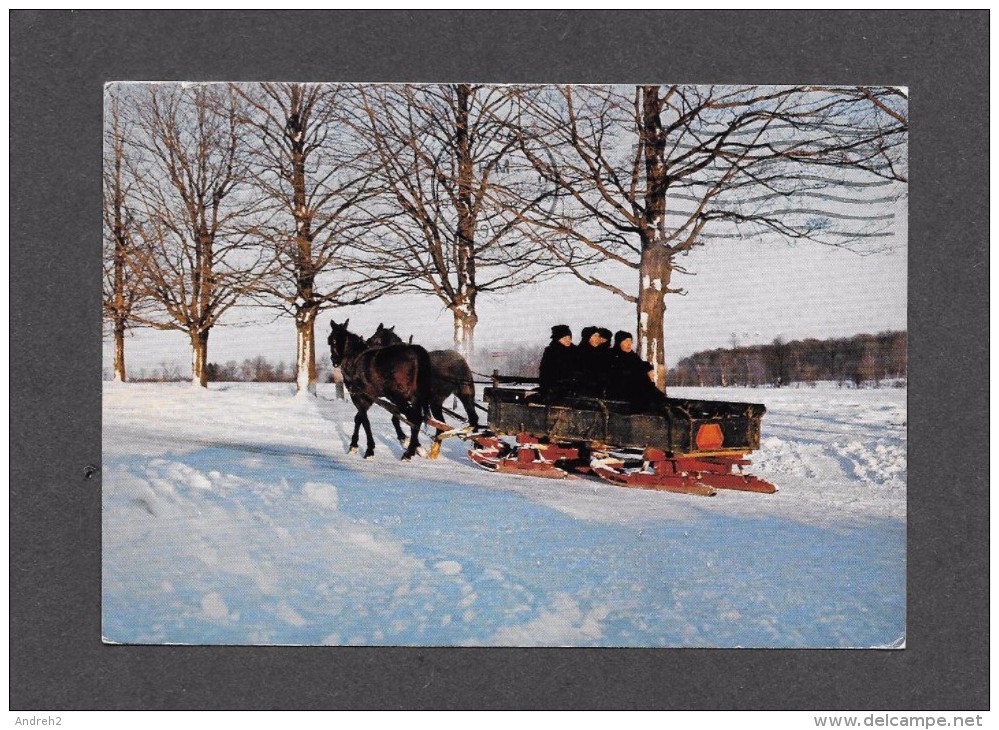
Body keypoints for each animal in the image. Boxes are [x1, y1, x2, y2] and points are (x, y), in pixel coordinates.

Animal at [328, 320, 434, 458]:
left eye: (331, 340)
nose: (334, 360)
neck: (354, 359)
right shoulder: (369, 397)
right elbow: (358, 418)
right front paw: (353, 445)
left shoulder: (358, 395)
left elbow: (364, 420)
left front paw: (369, 449)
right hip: (414, 398)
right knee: (416, 419)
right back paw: (414, 447)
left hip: (399, 397)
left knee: (414, 418)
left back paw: (409, 452)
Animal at [368, 322, 480, 452]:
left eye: (374, 338)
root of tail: (459, 363)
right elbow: (399, 418)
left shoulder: (405, 400)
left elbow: (404, 419)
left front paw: (406, 441)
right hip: (465, 394)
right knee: (471, 419)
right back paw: (477, 445)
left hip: (437, 401)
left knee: (442, 424)